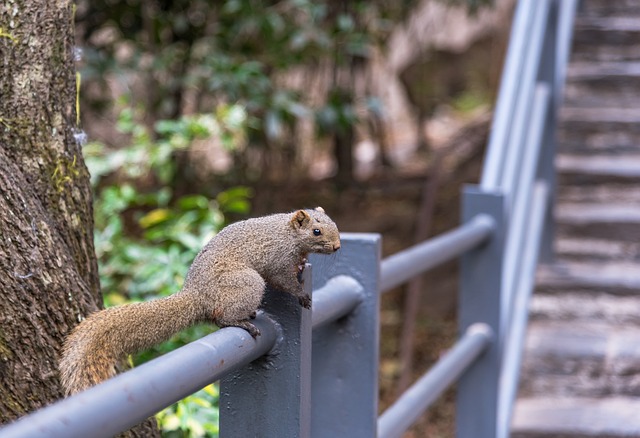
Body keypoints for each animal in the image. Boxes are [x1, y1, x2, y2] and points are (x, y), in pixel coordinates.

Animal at [58, 207, 340, 396]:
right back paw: (242, 322)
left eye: (335, 225)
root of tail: (197, 295)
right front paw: (302, 295)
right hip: (246, 283)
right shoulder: (278, 260)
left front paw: (302, 266)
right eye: (316, 231)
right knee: (221, 317)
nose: (337, 246)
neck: (287, 234)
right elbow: (284, 281)